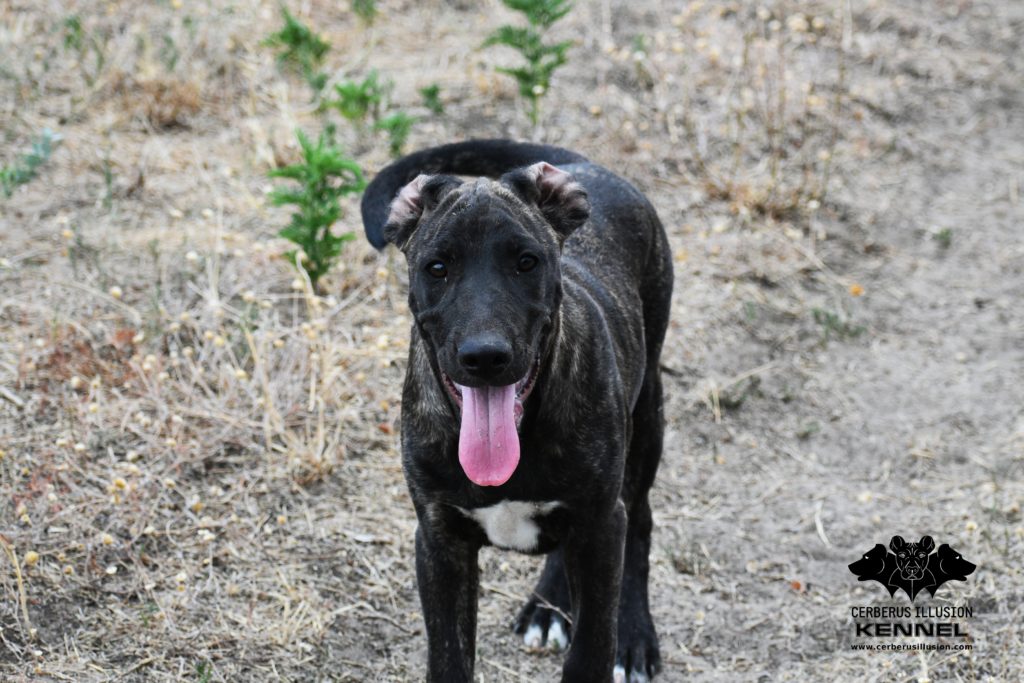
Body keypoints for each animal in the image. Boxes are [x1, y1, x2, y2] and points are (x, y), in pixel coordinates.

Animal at [360, 140, 671, 683]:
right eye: (437, 268)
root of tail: (583, 165)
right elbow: (448, 655)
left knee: (640, 521)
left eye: (527, 262)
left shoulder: (600, 526)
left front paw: (613, 641)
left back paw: (632, 636)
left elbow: (591, 646)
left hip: (646, 419)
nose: (485, 357)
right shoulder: (439, 541)